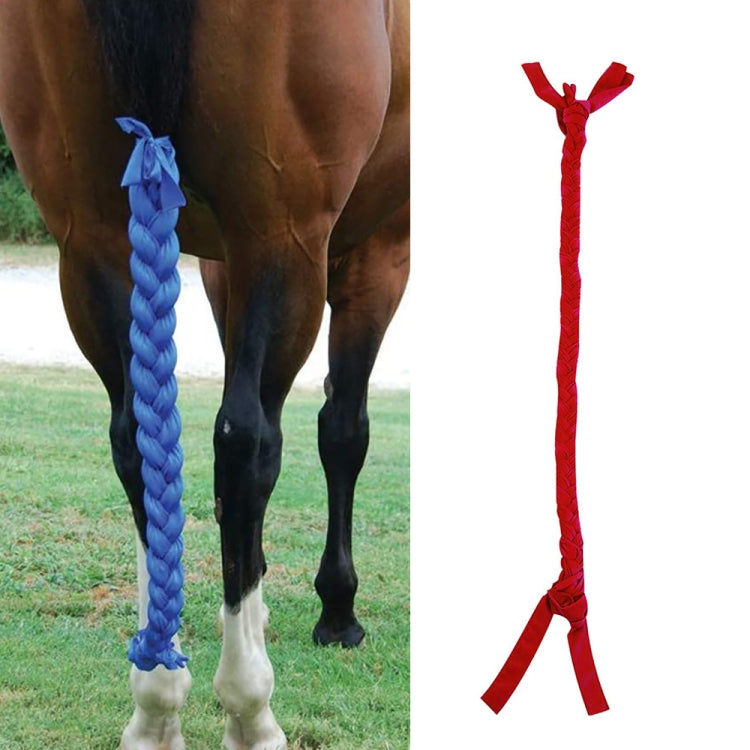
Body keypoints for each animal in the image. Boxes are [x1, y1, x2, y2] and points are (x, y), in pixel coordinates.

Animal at [0, 1, 409, 748]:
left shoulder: (218, 264)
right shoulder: (382, 251)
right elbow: (343, 431)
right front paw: (337, 608)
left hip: (91, 239)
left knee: (138, 442)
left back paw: (156, 701)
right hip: (283, 236)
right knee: (247, 443)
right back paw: (249, 705)